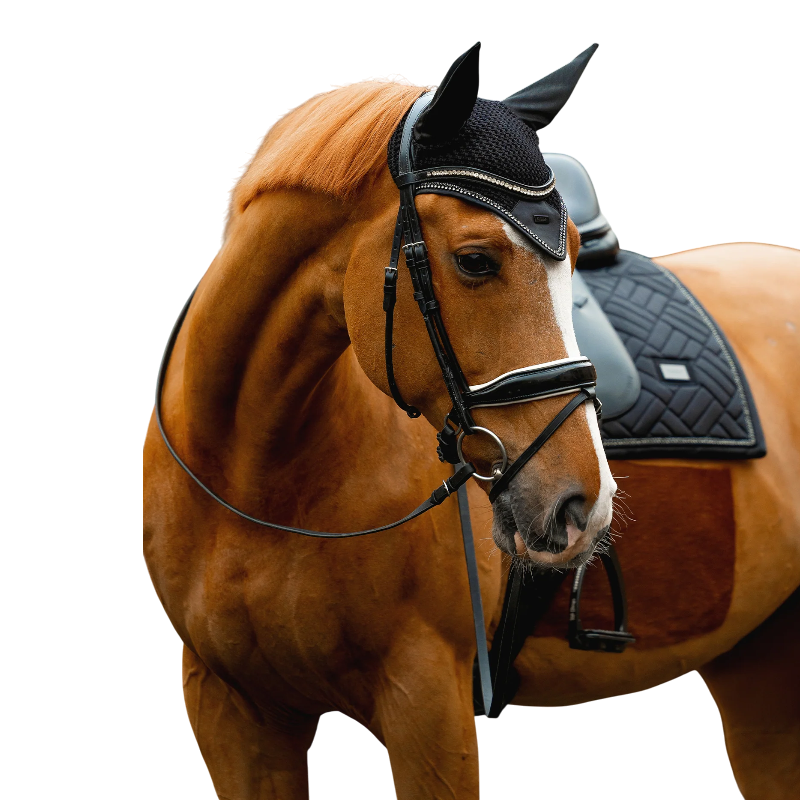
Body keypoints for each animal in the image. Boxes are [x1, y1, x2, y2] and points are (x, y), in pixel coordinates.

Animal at [143, 56, 800, 799]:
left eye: (576, 251)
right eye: (475, 260)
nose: (583, 501)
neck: (255, 476)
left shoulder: (428, 703)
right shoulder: (231, 712)